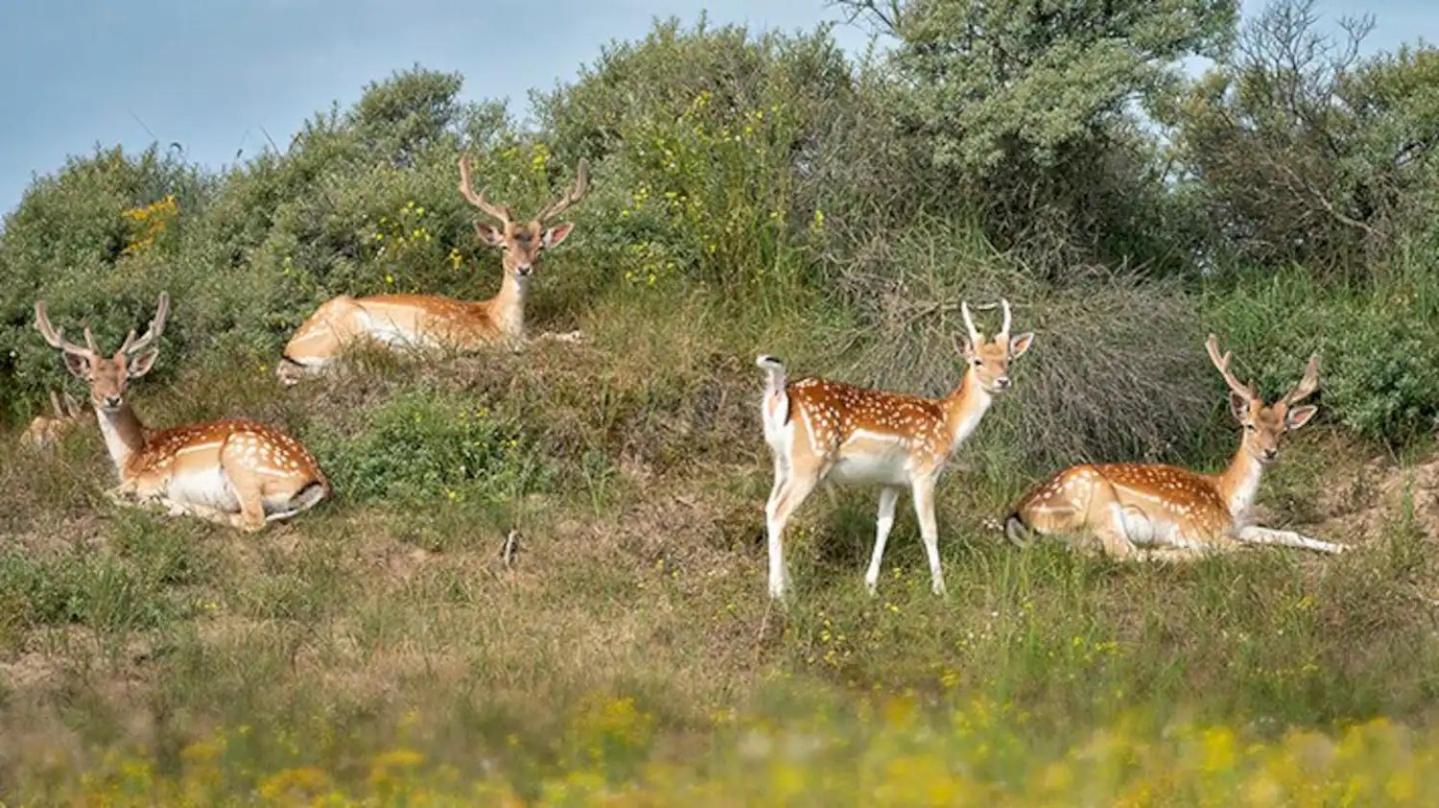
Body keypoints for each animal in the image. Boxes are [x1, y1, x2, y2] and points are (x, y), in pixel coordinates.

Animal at [35, 288, 329, 529]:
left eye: (127, 379)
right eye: (91, 379)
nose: (112, 399)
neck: (131, 457)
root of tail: (318, 483)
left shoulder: (150, 477)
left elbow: (104, 491)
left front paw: (144, 501)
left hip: (241, 460)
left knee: (251, 521)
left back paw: (169, 505)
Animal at [274, 154, 589, 388]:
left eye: (540, 248)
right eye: (504, 246)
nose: (524, 269)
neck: (500, 320)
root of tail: (289, 351)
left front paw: (575, 334)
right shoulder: (476, 337)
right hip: (349, 324)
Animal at [754, 297, 1036, 598]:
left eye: (1008, 360)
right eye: (977, 360)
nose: (1003, 381)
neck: (948, 423)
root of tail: (779, 394)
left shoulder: (892, 481)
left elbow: (884, 525)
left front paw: (870, 585)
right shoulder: (925, 471)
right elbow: (929, 529)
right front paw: (941, 589)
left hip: (781, 460)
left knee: (770, 506)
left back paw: (787, 585)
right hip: (809, 460)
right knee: (779, 511)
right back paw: (778, 593)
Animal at [1001, 332, 1346, 552]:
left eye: (1284, 430)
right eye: (1250, 426)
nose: (1270, 451)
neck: (1228, 499)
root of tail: (1021, 513)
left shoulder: (1242, 525)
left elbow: (1289, 534)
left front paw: (1342, 546)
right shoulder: (1197, 527)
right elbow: (1241, 548)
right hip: (1098, 505)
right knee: (1125, 553)